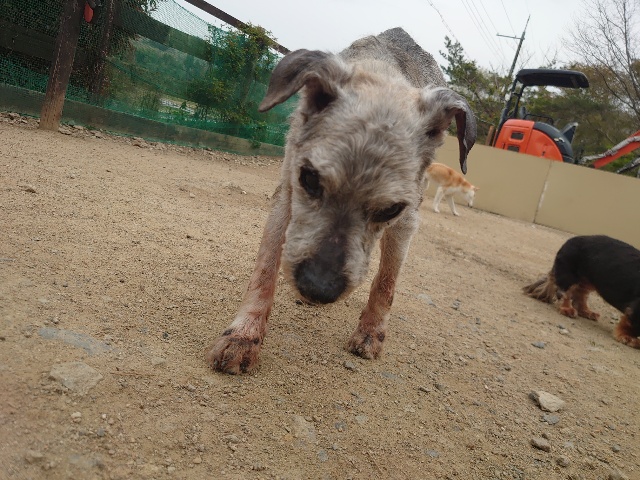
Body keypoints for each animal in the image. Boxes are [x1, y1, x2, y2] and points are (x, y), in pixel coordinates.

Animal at [205, 28, 477, 374]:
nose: (318, 287)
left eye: (391, 209)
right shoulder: (288, 194)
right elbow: (265, 266)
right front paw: (244, 335)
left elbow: (386, 281)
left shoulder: (406, 220)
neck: (382, 73)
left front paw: (371, 333)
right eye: (309, 178)